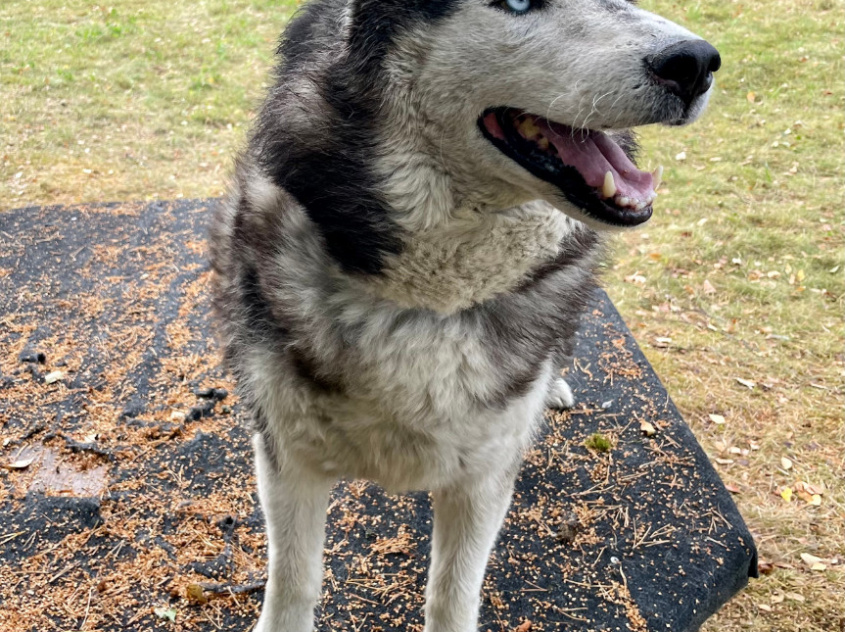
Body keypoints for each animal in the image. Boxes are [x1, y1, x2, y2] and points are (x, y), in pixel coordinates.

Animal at [211, 1, 720, 628]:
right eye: (517, 4)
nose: (696, 63)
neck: (428, 305)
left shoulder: (482, 476)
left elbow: (452, 595)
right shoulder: (288, 457)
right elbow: (293, 582)